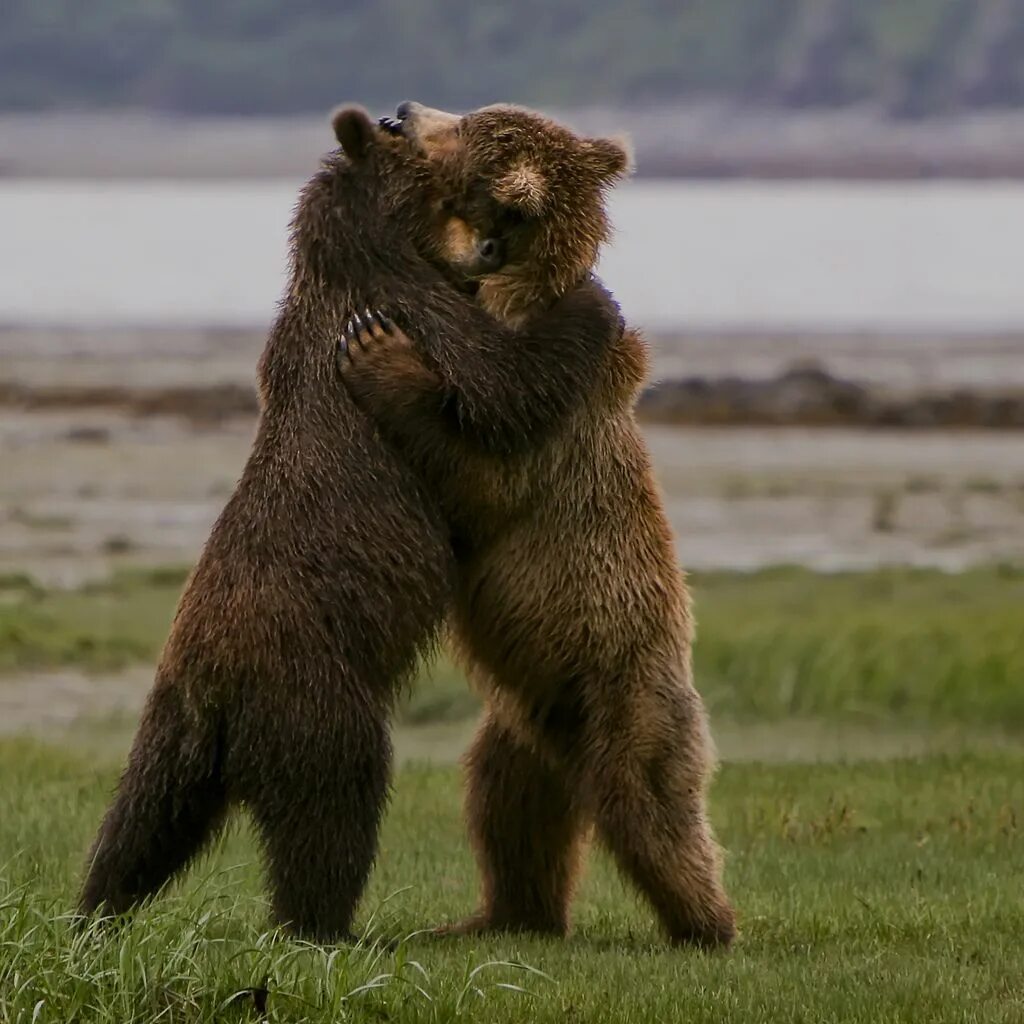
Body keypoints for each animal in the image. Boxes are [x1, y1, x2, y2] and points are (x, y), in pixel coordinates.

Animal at [342, 99, 737, 946]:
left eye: (460, 130)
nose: (402, 110)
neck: (512, 291)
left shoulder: (547, 428)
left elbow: (479, 474)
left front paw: (378, 352)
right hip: (525, 720)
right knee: (508, 801)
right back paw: (497, 916)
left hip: (631, 692)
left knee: (654, 804)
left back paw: (707, 922)